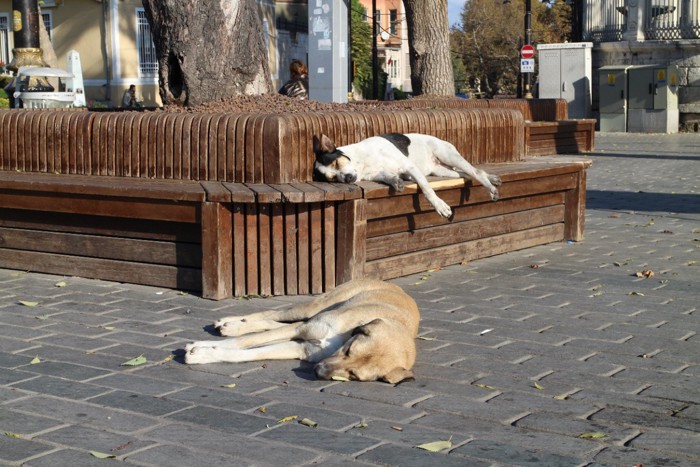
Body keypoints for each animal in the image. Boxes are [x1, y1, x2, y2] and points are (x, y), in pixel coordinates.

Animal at [183, 280, 418, 386]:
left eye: (354, 375)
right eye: (349, 350)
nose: (318, 371)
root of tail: (394, 285)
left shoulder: (300, 348)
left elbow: (250, 352)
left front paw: (206, 353)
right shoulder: (301, 329)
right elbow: (242, 342)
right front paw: (200, 348)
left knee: (272, 322)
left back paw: (233, 324)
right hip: (315, 307)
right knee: (272, 313)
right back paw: (230, 323)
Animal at [314, 133, 504, 218]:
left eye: (336, 164)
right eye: (332, 179)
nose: (346, 179)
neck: (362, 162)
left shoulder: (410, 167)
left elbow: (427, 190)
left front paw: (440, 206)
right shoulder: (380, 174)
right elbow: (389, 177)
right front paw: (396, 181)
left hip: (448, 156)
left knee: (475, 171)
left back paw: (491, 188)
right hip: (442, 170)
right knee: (467, 173)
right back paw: (492, 179)